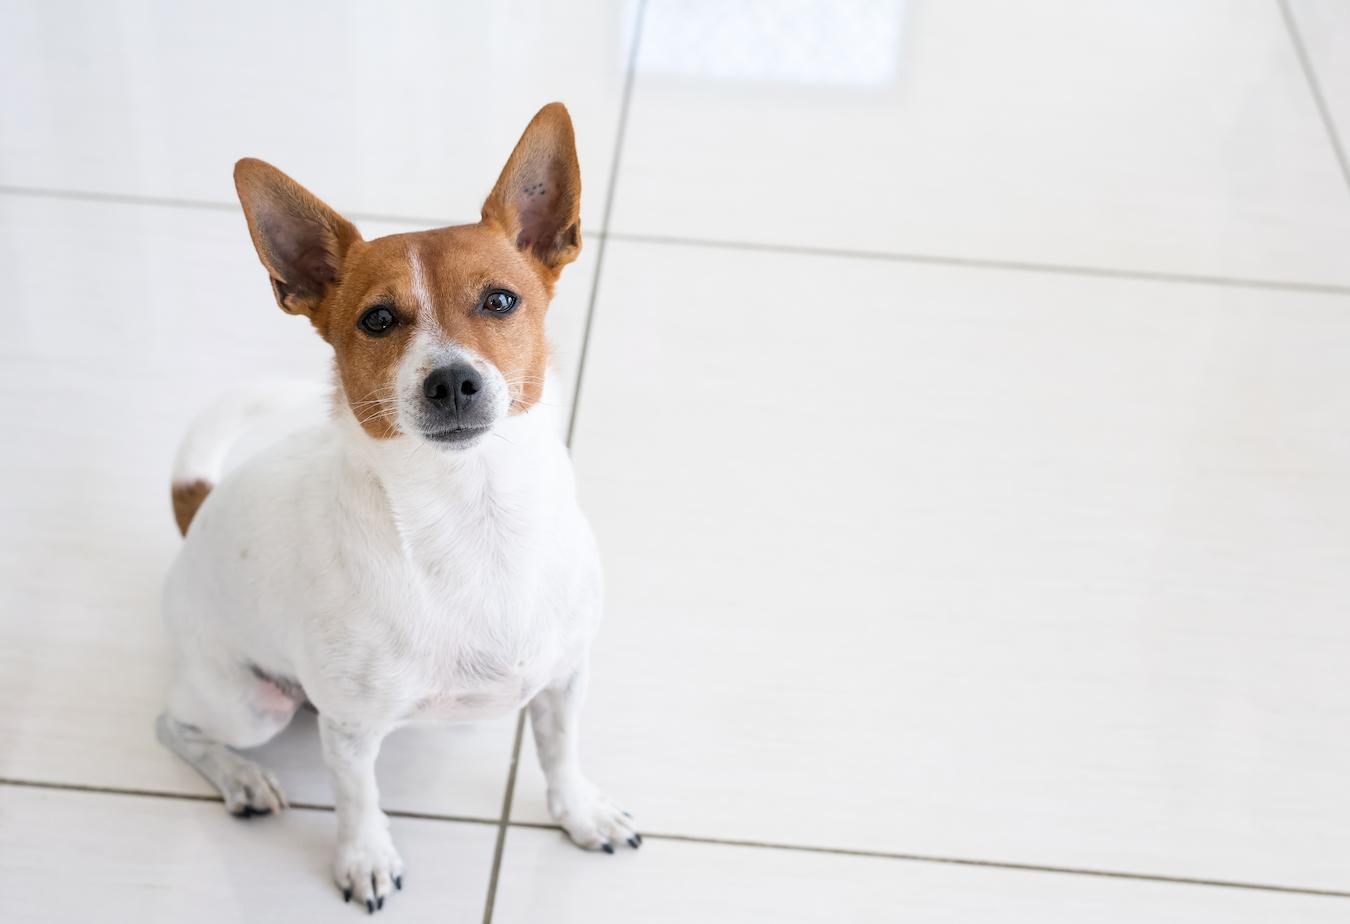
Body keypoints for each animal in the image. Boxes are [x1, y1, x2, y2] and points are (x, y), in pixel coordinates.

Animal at [153, 104, 637, 913]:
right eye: (378, 320)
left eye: (500, 300)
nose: (452, 381)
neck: (474, 516)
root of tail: (202, 510)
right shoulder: (350, 729)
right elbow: (358, 798)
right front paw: (366, 858)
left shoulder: (564, 681)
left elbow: (560, 753)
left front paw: (580, 812)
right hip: (252, 705)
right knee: (171, 723)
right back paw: (242, 778)